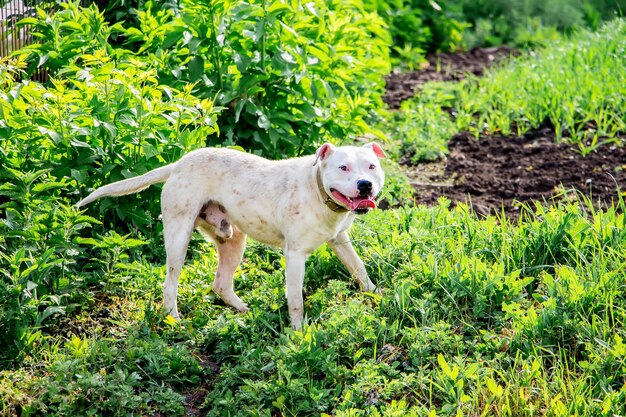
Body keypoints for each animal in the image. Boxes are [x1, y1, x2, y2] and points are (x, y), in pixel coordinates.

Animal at [78, 142, 386, 328]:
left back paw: (243, 309)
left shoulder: (340, 240)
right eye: (343, 167)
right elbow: (296, 299)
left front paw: (377, 296)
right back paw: (175, 319)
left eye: (372, 166)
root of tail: (177, 164)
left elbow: (359, 269)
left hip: (233, 241)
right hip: (178, 238)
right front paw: (298, 332)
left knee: (221, 284)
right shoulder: (295, 255)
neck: (317, 189)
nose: (365, 185)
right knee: (170, 283)